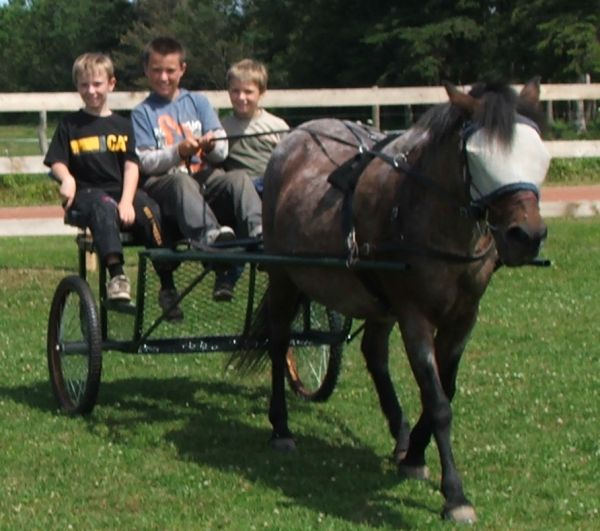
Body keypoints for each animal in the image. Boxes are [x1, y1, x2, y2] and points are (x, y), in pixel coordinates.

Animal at [232, 79, 552, 524]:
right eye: (477, 155)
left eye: (538, 152)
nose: (527, 236)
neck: (425, 212)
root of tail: (295, 136)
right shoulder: (414, 315)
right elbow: (437, 402)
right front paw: (455, 495)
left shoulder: (463, 317)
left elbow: (445, 389)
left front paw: (414, 453)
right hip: (284, 275)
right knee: (279, 342)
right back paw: (281, 428)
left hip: (376, 299)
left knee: (373, 353)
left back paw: (399, 433)